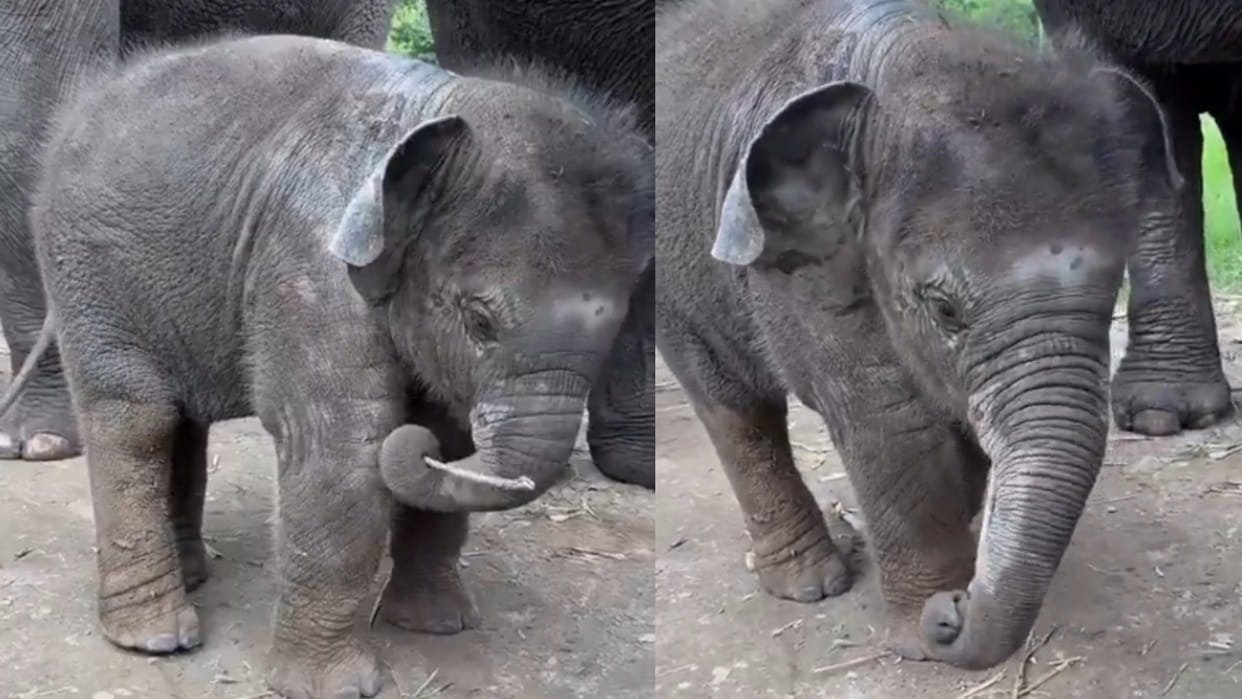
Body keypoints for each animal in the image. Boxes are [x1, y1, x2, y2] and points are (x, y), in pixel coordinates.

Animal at [655, 0, 1170, 671]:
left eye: (1114, 292)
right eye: (945, 309)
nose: (954, 611)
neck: (906, 63)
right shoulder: (801, 267)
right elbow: (893, 424)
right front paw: (924, 634)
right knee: (734, 404)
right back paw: (810, 583)